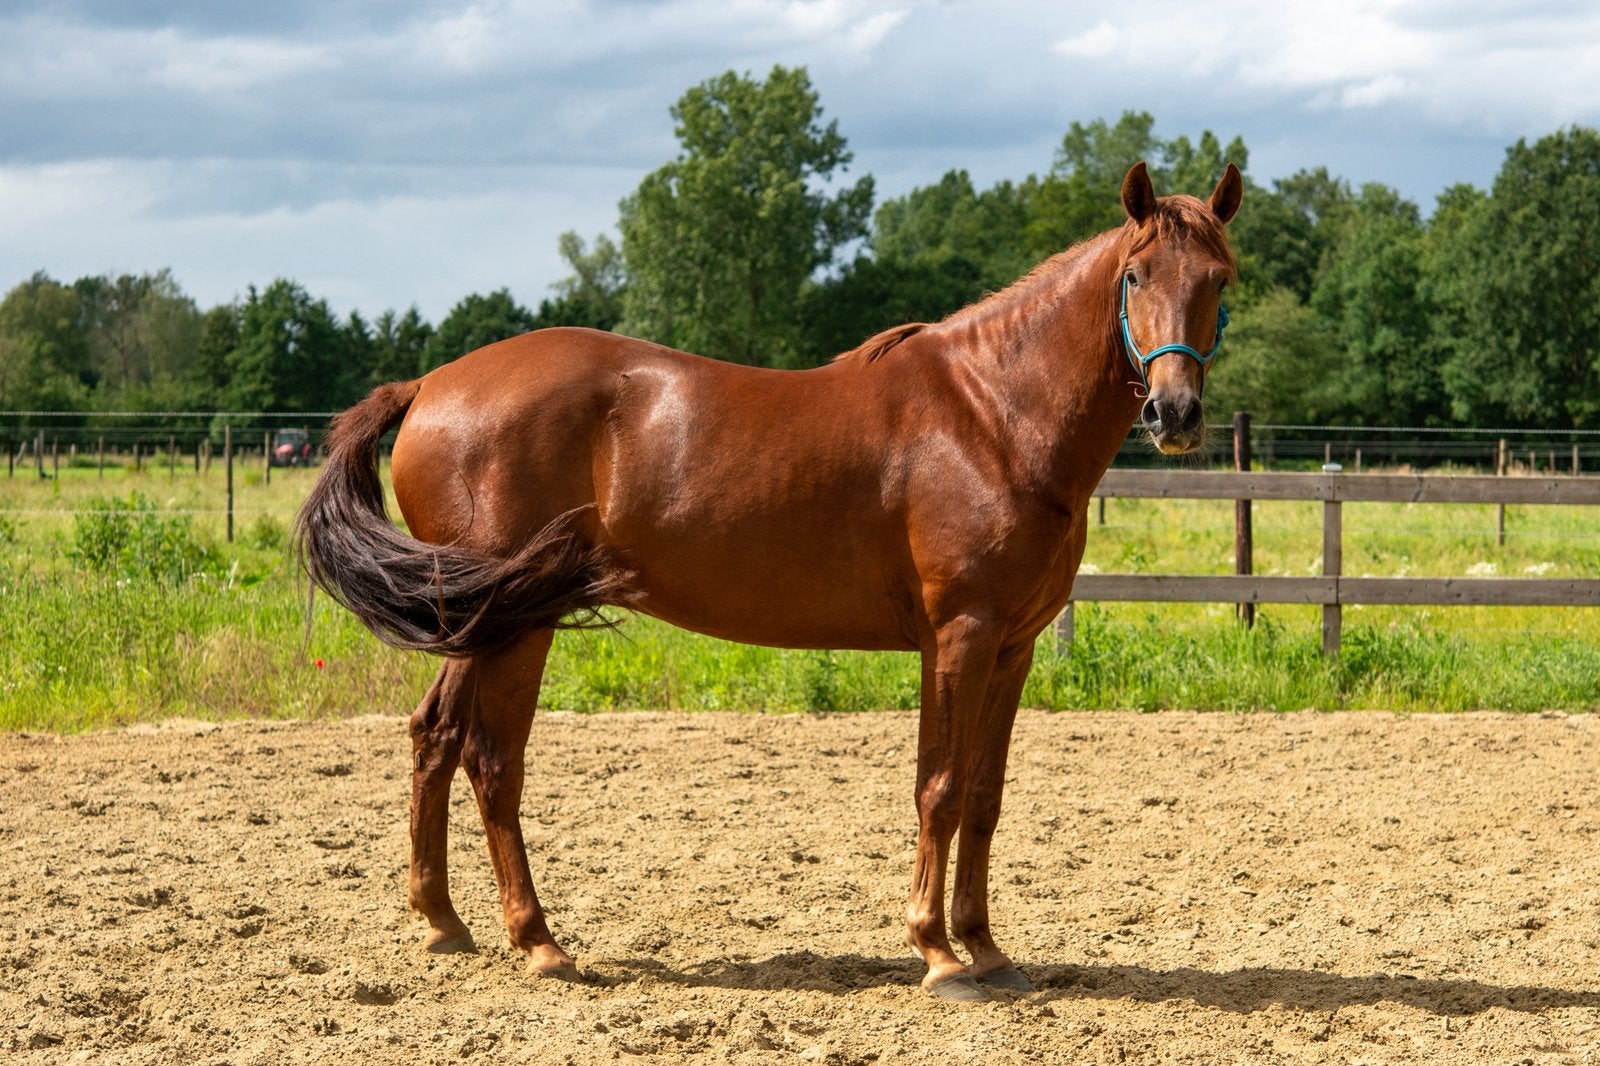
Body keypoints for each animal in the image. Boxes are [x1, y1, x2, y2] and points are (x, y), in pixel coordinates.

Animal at [295, 160, 1242, 1000]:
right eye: (1135, 275)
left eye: (1219, 280)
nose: (1176, 414)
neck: (992, 413)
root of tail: (430, 386)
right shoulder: (959, 638)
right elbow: (936, 789)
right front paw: (938, 955)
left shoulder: (1012, 649)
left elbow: (982, 795)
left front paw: (986, 948)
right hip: (514, 629)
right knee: (493, 761)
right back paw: (540, 943)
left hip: (476, 620)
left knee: (434, 738)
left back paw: (442, 923)